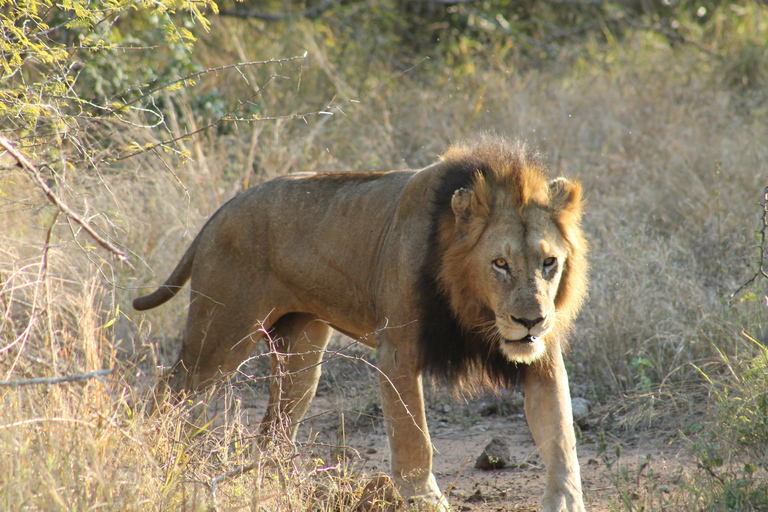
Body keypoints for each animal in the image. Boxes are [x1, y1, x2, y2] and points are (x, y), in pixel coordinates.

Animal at [134, 136, 588, 512]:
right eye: (500, 264)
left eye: (549, 262)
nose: (531, 320)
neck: (475, 308)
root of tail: (222, 210)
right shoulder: (397, 354)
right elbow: (413, 439)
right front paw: (424, 500)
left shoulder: (543, 361)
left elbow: (562, 438)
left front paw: (565, 502)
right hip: (219, 338)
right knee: (167, 391)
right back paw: (149, 454)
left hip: (301, 353)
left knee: (273, 433)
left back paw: (286, 492)